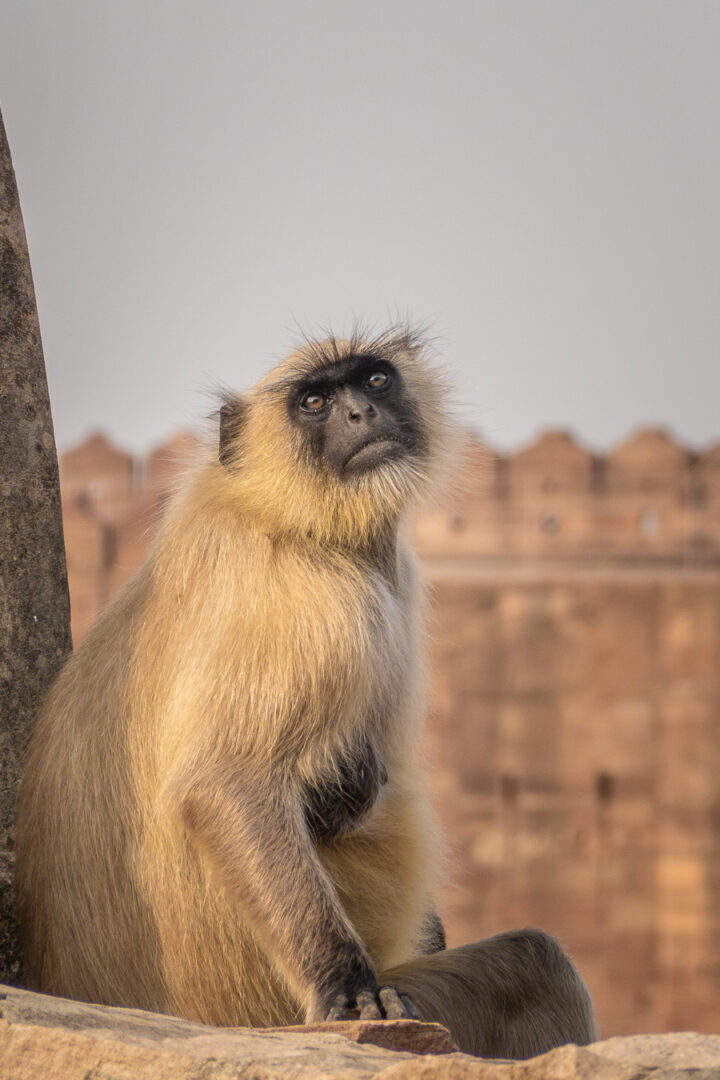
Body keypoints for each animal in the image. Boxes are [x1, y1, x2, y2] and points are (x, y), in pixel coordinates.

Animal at [14, 328, 595, 1054]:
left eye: (374, 380)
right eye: (314, 401)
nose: (360, 414)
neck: (280, 509)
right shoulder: (309, 602)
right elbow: (227, 783)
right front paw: (345, 985)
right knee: (538, 963)